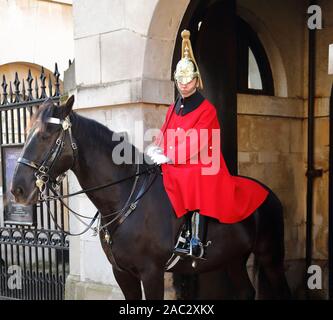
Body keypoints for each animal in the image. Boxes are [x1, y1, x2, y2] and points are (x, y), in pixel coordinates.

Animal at [11, 96, 290, 298]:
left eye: (46, 135)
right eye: (26, 133)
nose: (17, 189)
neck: (125, 199)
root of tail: (269, 193)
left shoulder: (152, 273)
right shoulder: (122, 274)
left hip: (271, 257)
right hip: (234, 258)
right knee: (246, 291)